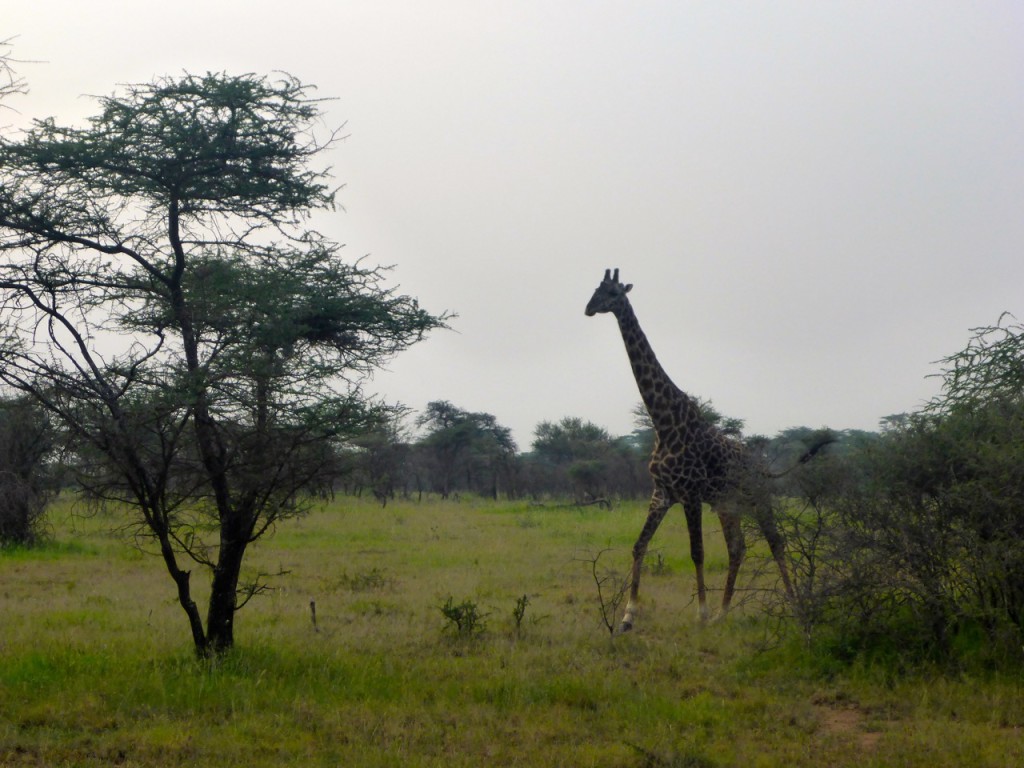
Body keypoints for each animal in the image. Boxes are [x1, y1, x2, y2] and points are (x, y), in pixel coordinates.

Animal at [589, 268, 802, 630]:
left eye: (613, 293)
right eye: (594, 290)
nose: (588, 308)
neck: (663, 421)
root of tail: (763, 465)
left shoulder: (689, 495)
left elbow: (696, 552)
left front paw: (700, 613)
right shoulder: (662, 493)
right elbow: (639, 545)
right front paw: (628, 615)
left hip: (759, 499)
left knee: (775, 543)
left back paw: (793, 601)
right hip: (728, 505)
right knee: (737, 548)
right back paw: (723, 612)